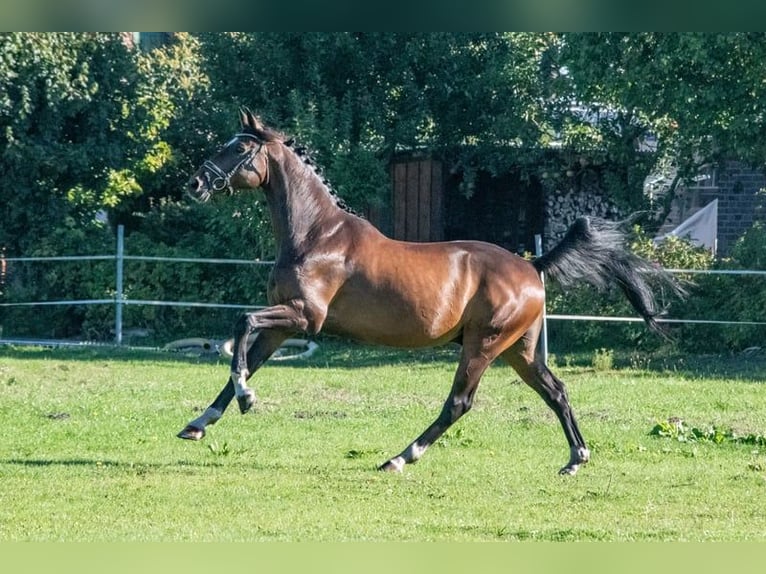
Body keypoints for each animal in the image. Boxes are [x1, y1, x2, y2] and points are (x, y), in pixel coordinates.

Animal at [180, 108, 684, 476]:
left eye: (240, 147)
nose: (195, 183)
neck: (316, 235)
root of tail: (531, 266)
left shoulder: (304, 317)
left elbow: (241, 323)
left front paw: (246, 400)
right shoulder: (284, 323)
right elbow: (246, 357)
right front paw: (199, 424)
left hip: (483, 345)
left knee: (459, 403)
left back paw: (399, 458)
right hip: (519, 349)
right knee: (555, 390)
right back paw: (576, 460)